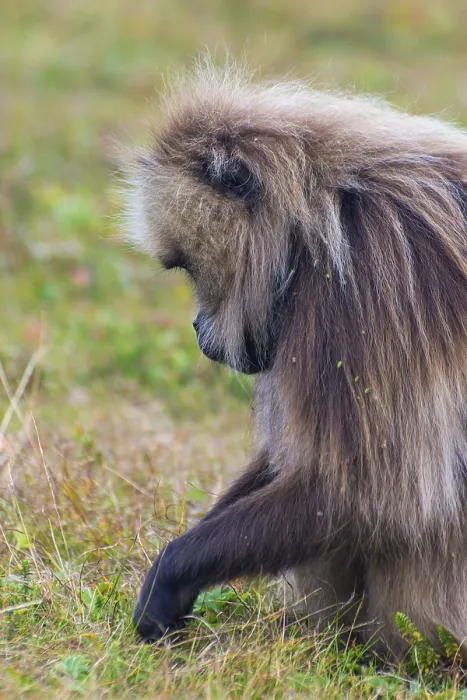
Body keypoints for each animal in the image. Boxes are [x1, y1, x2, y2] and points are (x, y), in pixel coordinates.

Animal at [124, 61, 467, 659]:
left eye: (188, 270)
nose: (196, 329)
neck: (319, 216)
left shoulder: (365, 285)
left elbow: (366, 491)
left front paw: (169, 577)